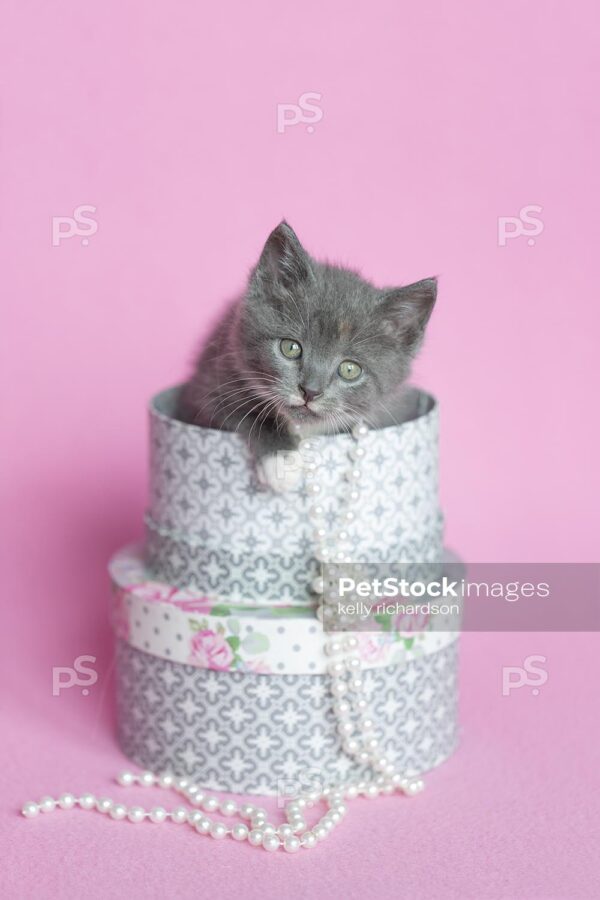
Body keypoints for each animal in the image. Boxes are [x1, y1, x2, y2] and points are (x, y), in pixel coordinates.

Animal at [178, 223, 436, 492]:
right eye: (290, 348)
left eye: (350, 370)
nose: (310, 391)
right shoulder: (204, 388)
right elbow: (240, 410)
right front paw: (281, 460)